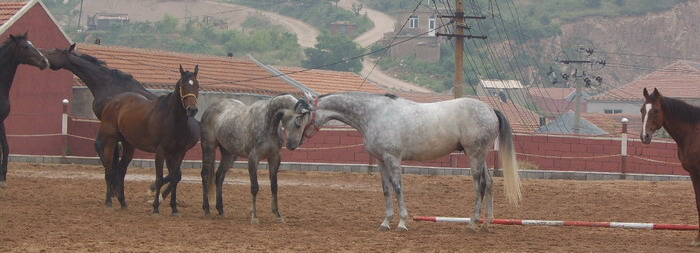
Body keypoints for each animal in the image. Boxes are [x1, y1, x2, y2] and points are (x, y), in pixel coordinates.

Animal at [0, 33, 49, 188]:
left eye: (32, 43)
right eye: (25, 46)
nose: (44, 61)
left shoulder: (1, 121)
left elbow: (5, 147)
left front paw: (2, 179)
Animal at [95, 65, 200, 215]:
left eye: (197, 85)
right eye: (183, 85)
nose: (192, 110)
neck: (171, 119)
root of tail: (112, 102)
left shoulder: (179, 152)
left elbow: (175, 176)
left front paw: (174, 208)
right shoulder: (160, 151)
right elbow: (160, 178)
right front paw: (155, 207)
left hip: (128, 145)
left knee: (121, 170)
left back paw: (123, 202)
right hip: (111, 141)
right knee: (109, 169)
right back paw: (108, 201)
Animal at [201, 93, 314, 223]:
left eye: (306, 124)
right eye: (297, 122)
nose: (292, 146)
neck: (268, 122)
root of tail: (210, 109)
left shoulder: (274, 158)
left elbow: (274, 186)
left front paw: (277, 215)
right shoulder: (253, 158)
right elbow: (254, 187)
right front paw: (254, 217)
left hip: (228, 153)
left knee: (219, 177)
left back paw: (220, 210)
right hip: (208, 147)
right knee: (205, 175)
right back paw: (207, 209)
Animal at [300, 91, 520, 231]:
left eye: (303, 113)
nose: (298, 140)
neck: (375, 114)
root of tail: (490, 110)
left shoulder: (393, 158)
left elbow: (398, 187)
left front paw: (402, 223)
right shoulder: (380, 160)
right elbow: (386, 189)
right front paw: (386, 222)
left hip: (474, 155)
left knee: (480, 185)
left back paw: (472, 223)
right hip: (480, 156)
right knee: (489, 183)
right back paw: (486, 224)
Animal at [644, 88, 700, 246]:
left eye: (656, 110)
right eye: (642, 110)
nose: (645, 136)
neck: (693, 133)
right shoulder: (694, 174)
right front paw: (697, 240)